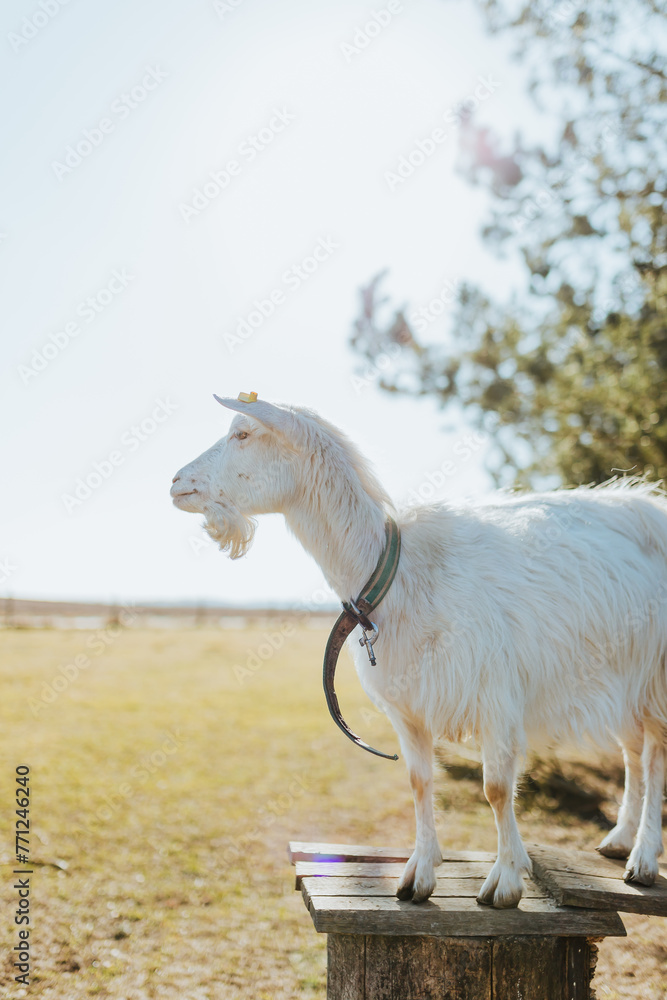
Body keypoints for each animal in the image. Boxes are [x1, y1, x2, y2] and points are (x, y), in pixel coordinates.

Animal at [171, 396, 667, 907]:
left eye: (243, 434)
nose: (176, 483)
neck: (399, 572)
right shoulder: (407, 705)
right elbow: (419, 781)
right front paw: (419, 874)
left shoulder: (496, 695)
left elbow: (496, 788)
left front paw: (506, 880)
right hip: (623, 678)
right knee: (633, 752)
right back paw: (620, 839)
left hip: (657, 672)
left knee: (654, 756)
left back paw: (643, 859)